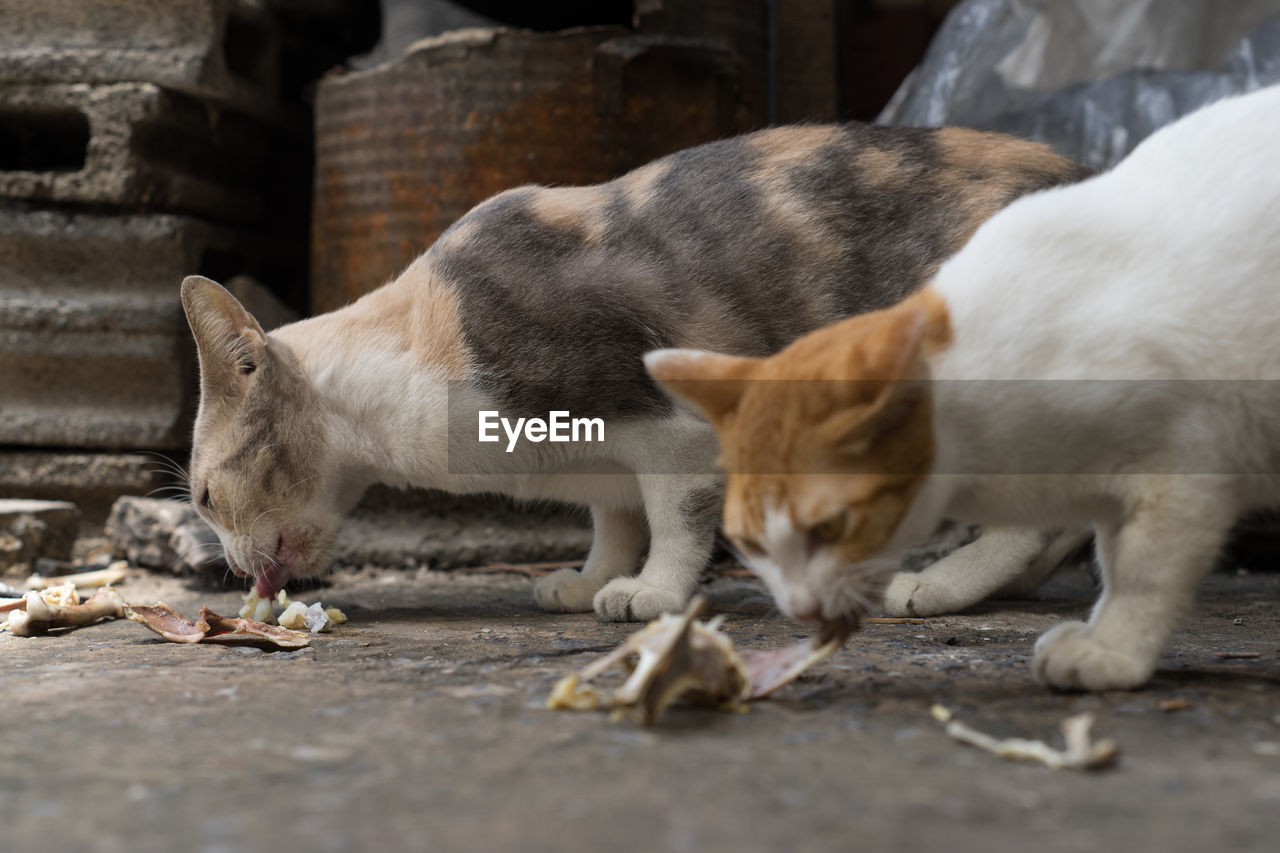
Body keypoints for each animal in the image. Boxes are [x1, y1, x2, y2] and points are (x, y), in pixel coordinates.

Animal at [645, 83, 1280, 686]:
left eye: (831, 526)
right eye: (752, 545)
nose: (800, 608)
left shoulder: (1183, 462)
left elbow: (1137, 567)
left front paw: (1110, 649)